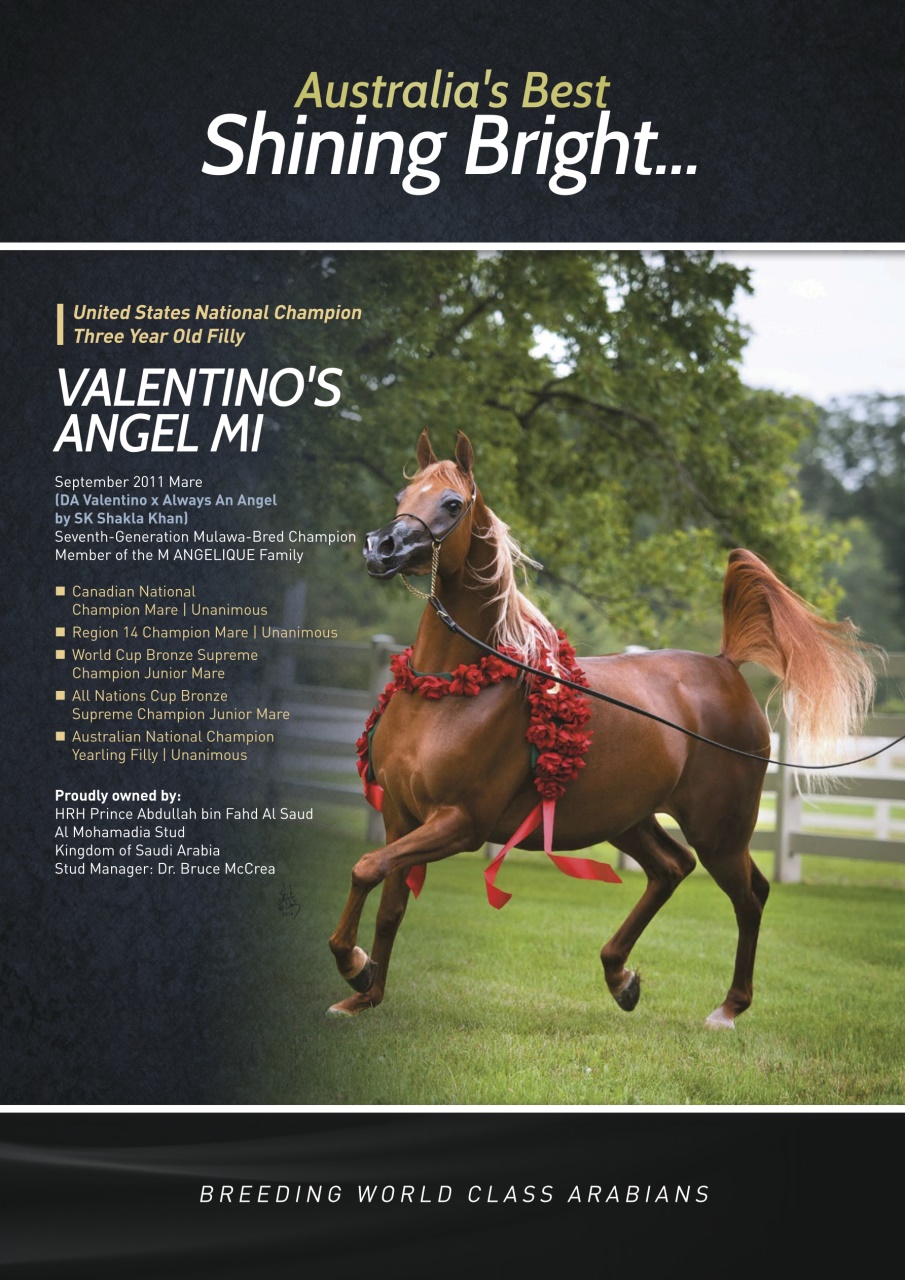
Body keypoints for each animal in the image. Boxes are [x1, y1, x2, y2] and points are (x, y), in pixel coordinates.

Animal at [327, 429, 876, 1028]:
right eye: (402, 495)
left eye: (451, 503)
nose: (380, 548)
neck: (448, 691)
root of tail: (725, 665)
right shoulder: (401, 818)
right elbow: (389, 902)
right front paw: (364, 991)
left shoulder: (459, 824)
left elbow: (363, 868)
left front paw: (353, 964)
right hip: (627, 818)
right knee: (672, 868)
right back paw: (620, 976)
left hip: (720, 831)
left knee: (748, 896)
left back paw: (728, 1008)